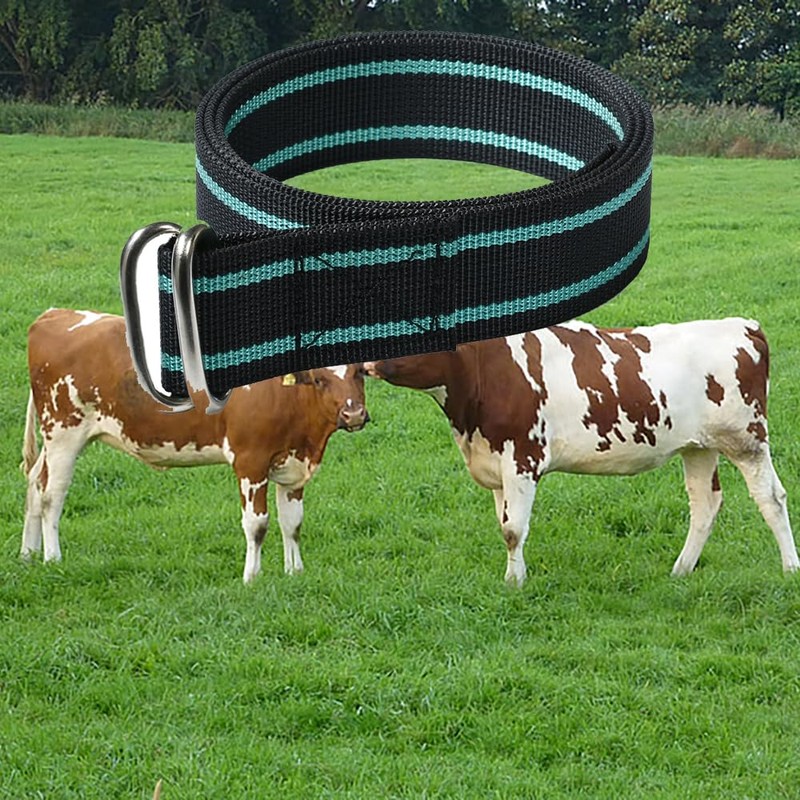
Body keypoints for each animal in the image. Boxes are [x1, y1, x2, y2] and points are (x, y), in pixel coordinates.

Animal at [21, 308, 368, 583]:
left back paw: (28, 554)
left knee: (35, 484)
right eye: (320, 379)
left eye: (359, 373)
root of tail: (56, 315)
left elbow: (292, 522)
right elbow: (257, 524)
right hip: (64, 434)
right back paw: (52, 558)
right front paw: (251, 577)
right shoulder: (250, 461)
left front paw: (294, 572)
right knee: (51, 496)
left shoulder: (293, 462)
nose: (353, 414)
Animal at [366, 319, 799, 585]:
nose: (367, 360)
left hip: (746, 439)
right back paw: (681, 569)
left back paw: (790, 567)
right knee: (705, 503)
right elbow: (504, 526)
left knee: (771, 498)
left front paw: (514, 583)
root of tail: (743, 326)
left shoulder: (522, 457)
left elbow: (513, 529)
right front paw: (514, 576)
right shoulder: (494, 464)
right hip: (699, 446)